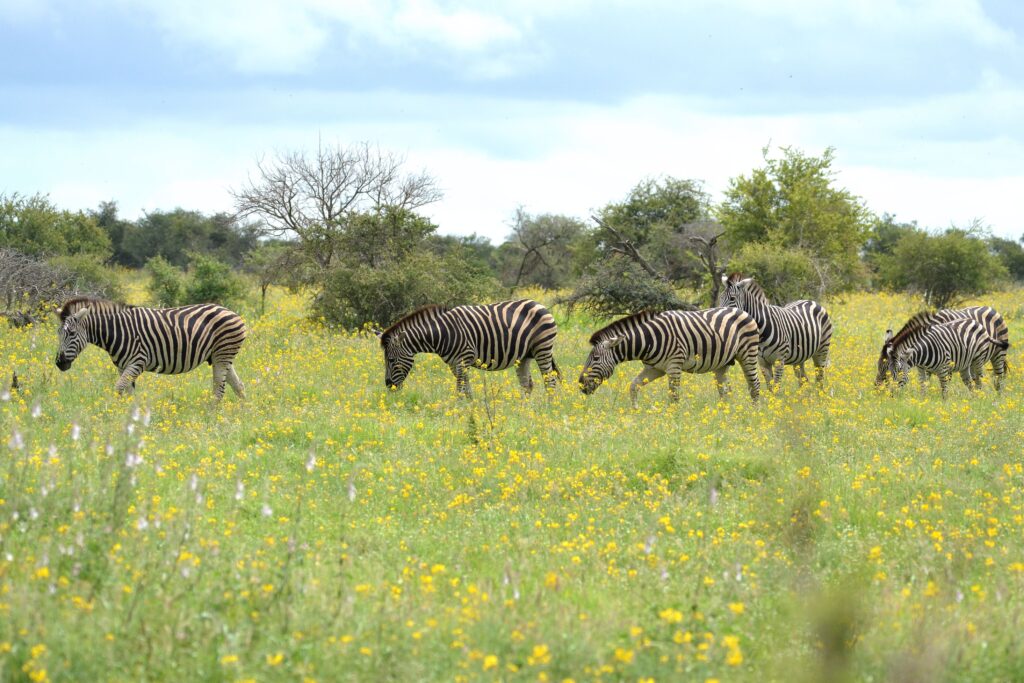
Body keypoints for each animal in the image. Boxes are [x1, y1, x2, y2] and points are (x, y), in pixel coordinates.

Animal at [54, 297, 247, 401]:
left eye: (71, 333)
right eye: (58, 333)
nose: (59, 363)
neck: (117, 331)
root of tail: (233, 312)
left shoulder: (137, 362)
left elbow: (118, 388)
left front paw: (113, 414)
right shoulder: (123, 367)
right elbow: (128, 391)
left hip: (222, 354)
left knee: (219, 388)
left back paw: (211, 414)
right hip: (218, 356)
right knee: (238, 385)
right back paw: (243, 412)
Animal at [377, 299, 560, 396]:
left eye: (391, 360)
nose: (388, 387)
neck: (442, 333)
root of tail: (539, 304)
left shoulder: (464, 358)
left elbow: (460, 389)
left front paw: (458, 412)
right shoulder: (454, 364)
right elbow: (467, 389)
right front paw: (470, 409)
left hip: (542, 348)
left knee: (550, 382)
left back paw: (547, 409)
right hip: (524, 356)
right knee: (527, 385)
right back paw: (524, 411)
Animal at [579, 307, 761, 408]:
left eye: (595, 358)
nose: (580, 385)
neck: (648, 340)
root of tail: (743, 311)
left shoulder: (674, 365)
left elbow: (674, 396)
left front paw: (673, 419)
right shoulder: (654, 368)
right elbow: (634, 386)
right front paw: (636, 409)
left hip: (748, 355)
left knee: (754, 385)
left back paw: (755, 413)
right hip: (722, 364)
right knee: (725, 390)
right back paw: (725, 414)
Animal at [876, 306, 1009, 391]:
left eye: (886, 367)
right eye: (878, 365)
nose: (877, 388)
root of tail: (990, 308)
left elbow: (944, 381)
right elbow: (926, 380)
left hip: (998, 354)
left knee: (999, 377)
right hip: (971, 361)